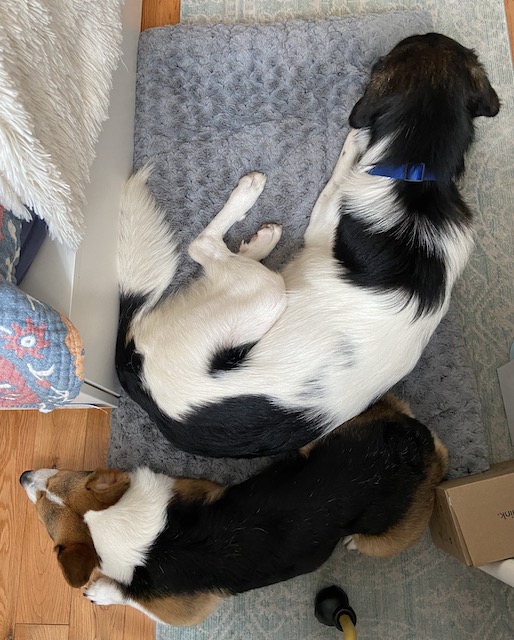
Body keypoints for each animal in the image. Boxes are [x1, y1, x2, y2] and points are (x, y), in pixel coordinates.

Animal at [23, 396, 448, 624]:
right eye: (64, 474)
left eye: (43, 516)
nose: (23, 475)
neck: (119, 526)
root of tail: (408, 450)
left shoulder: (180, 612)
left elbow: (131, 597)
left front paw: (102, 592)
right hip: (331, 435)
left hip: (390, 533)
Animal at [116, 32, 496, 458]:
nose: (426, 32)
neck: (422, 178)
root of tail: (138, 378)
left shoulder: (326, 219)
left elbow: (340, 173)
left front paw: (355, 141)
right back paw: (259, 241)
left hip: (265, 294)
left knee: (203, 247)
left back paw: (250, 203)